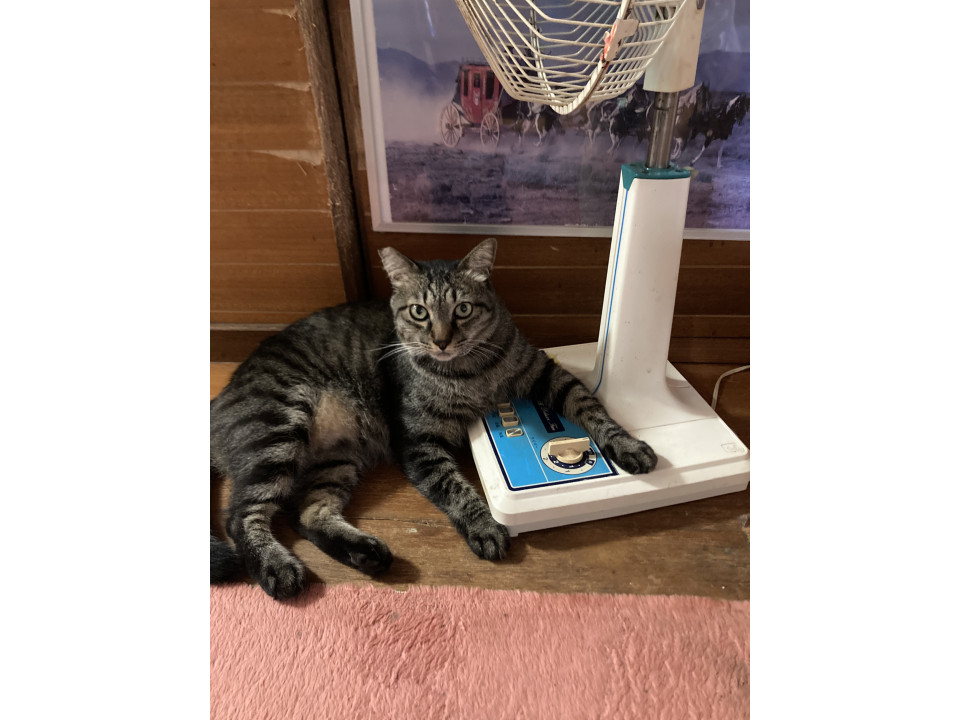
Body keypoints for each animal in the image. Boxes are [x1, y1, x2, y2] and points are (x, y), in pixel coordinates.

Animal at [210, 238, 656, 599]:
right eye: (419, 312)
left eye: (463, 308)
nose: (441, 340)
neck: (469, 372)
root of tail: (219, 399)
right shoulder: (418, 440)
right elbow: (453, 487)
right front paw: (484, 526)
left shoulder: (546, 373)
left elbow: (590, 407)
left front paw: (627, 445)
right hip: (280, 425)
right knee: (240, 516)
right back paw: (277, 569)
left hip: (335, 458)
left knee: (308, 513)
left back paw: (366, 553)